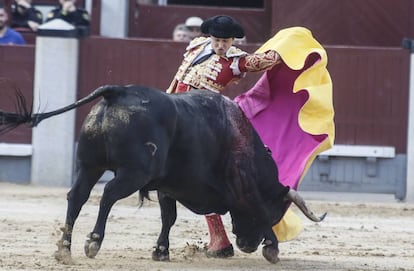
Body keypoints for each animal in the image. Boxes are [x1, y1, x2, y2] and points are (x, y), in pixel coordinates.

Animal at [0, 85, 324, 266]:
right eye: (278, 213)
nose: (247, 245)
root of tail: (118, 91)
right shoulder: (243, 183)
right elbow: (256, 207)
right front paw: (273, 249)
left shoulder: (169, 186)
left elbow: (169, 216)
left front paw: (160, 251)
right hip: (134, 173)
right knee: (108, 195)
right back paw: (93, 242)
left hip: (89, 165)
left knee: (76, 197)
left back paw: (64, 249)